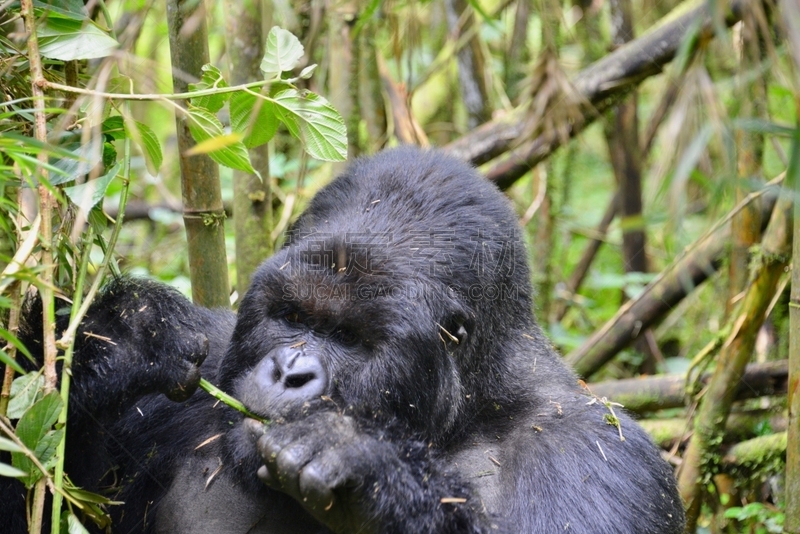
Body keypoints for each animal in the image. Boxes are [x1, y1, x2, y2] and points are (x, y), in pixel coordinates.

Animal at [3, 147, 684, 534]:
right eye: (291, 315)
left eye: (349, 338)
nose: (288, 373)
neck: (468, 409)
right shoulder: (211, 356)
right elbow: (35, 484)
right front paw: (125, 335)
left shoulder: (594, 453)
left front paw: (362, 470)